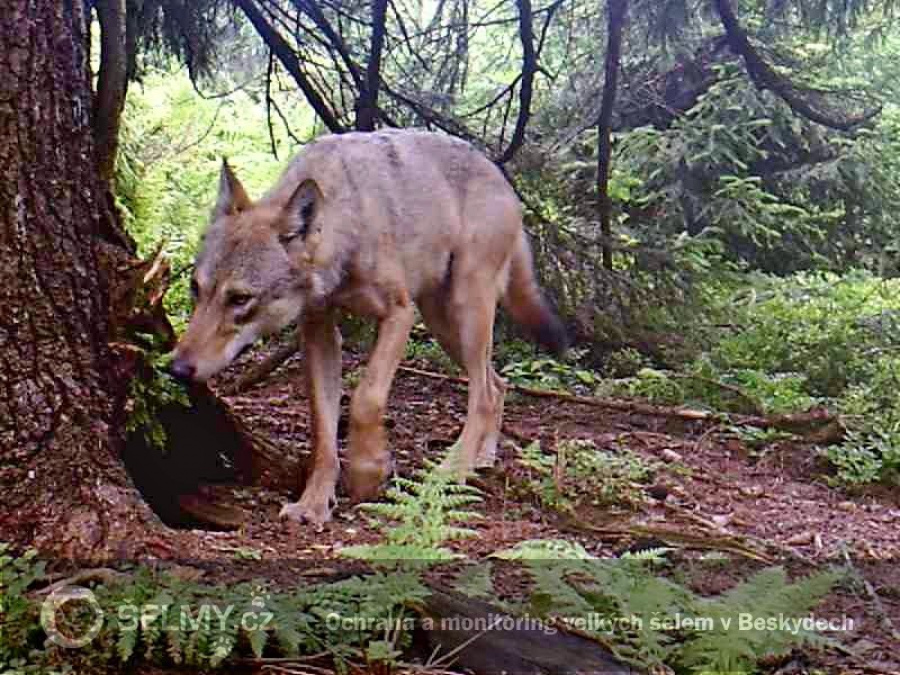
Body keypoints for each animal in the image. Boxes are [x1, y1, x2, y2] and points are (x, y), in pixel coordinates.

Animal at [171, 129, 568, 524]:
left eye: (239, 299)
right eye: (196, 288)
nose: (176, 368)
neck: (348, 223)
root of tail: (501, 177)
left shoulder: (399, 314)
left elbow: (366, 398)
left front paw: (368, 471)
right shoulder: (317, 330)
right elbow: (323, 433)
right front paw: (313, 503)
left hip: (464, 310)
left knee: (483, 393)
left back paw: (450, 472)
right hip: (443, 323)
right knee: (498, 385)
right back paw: (480, 460)